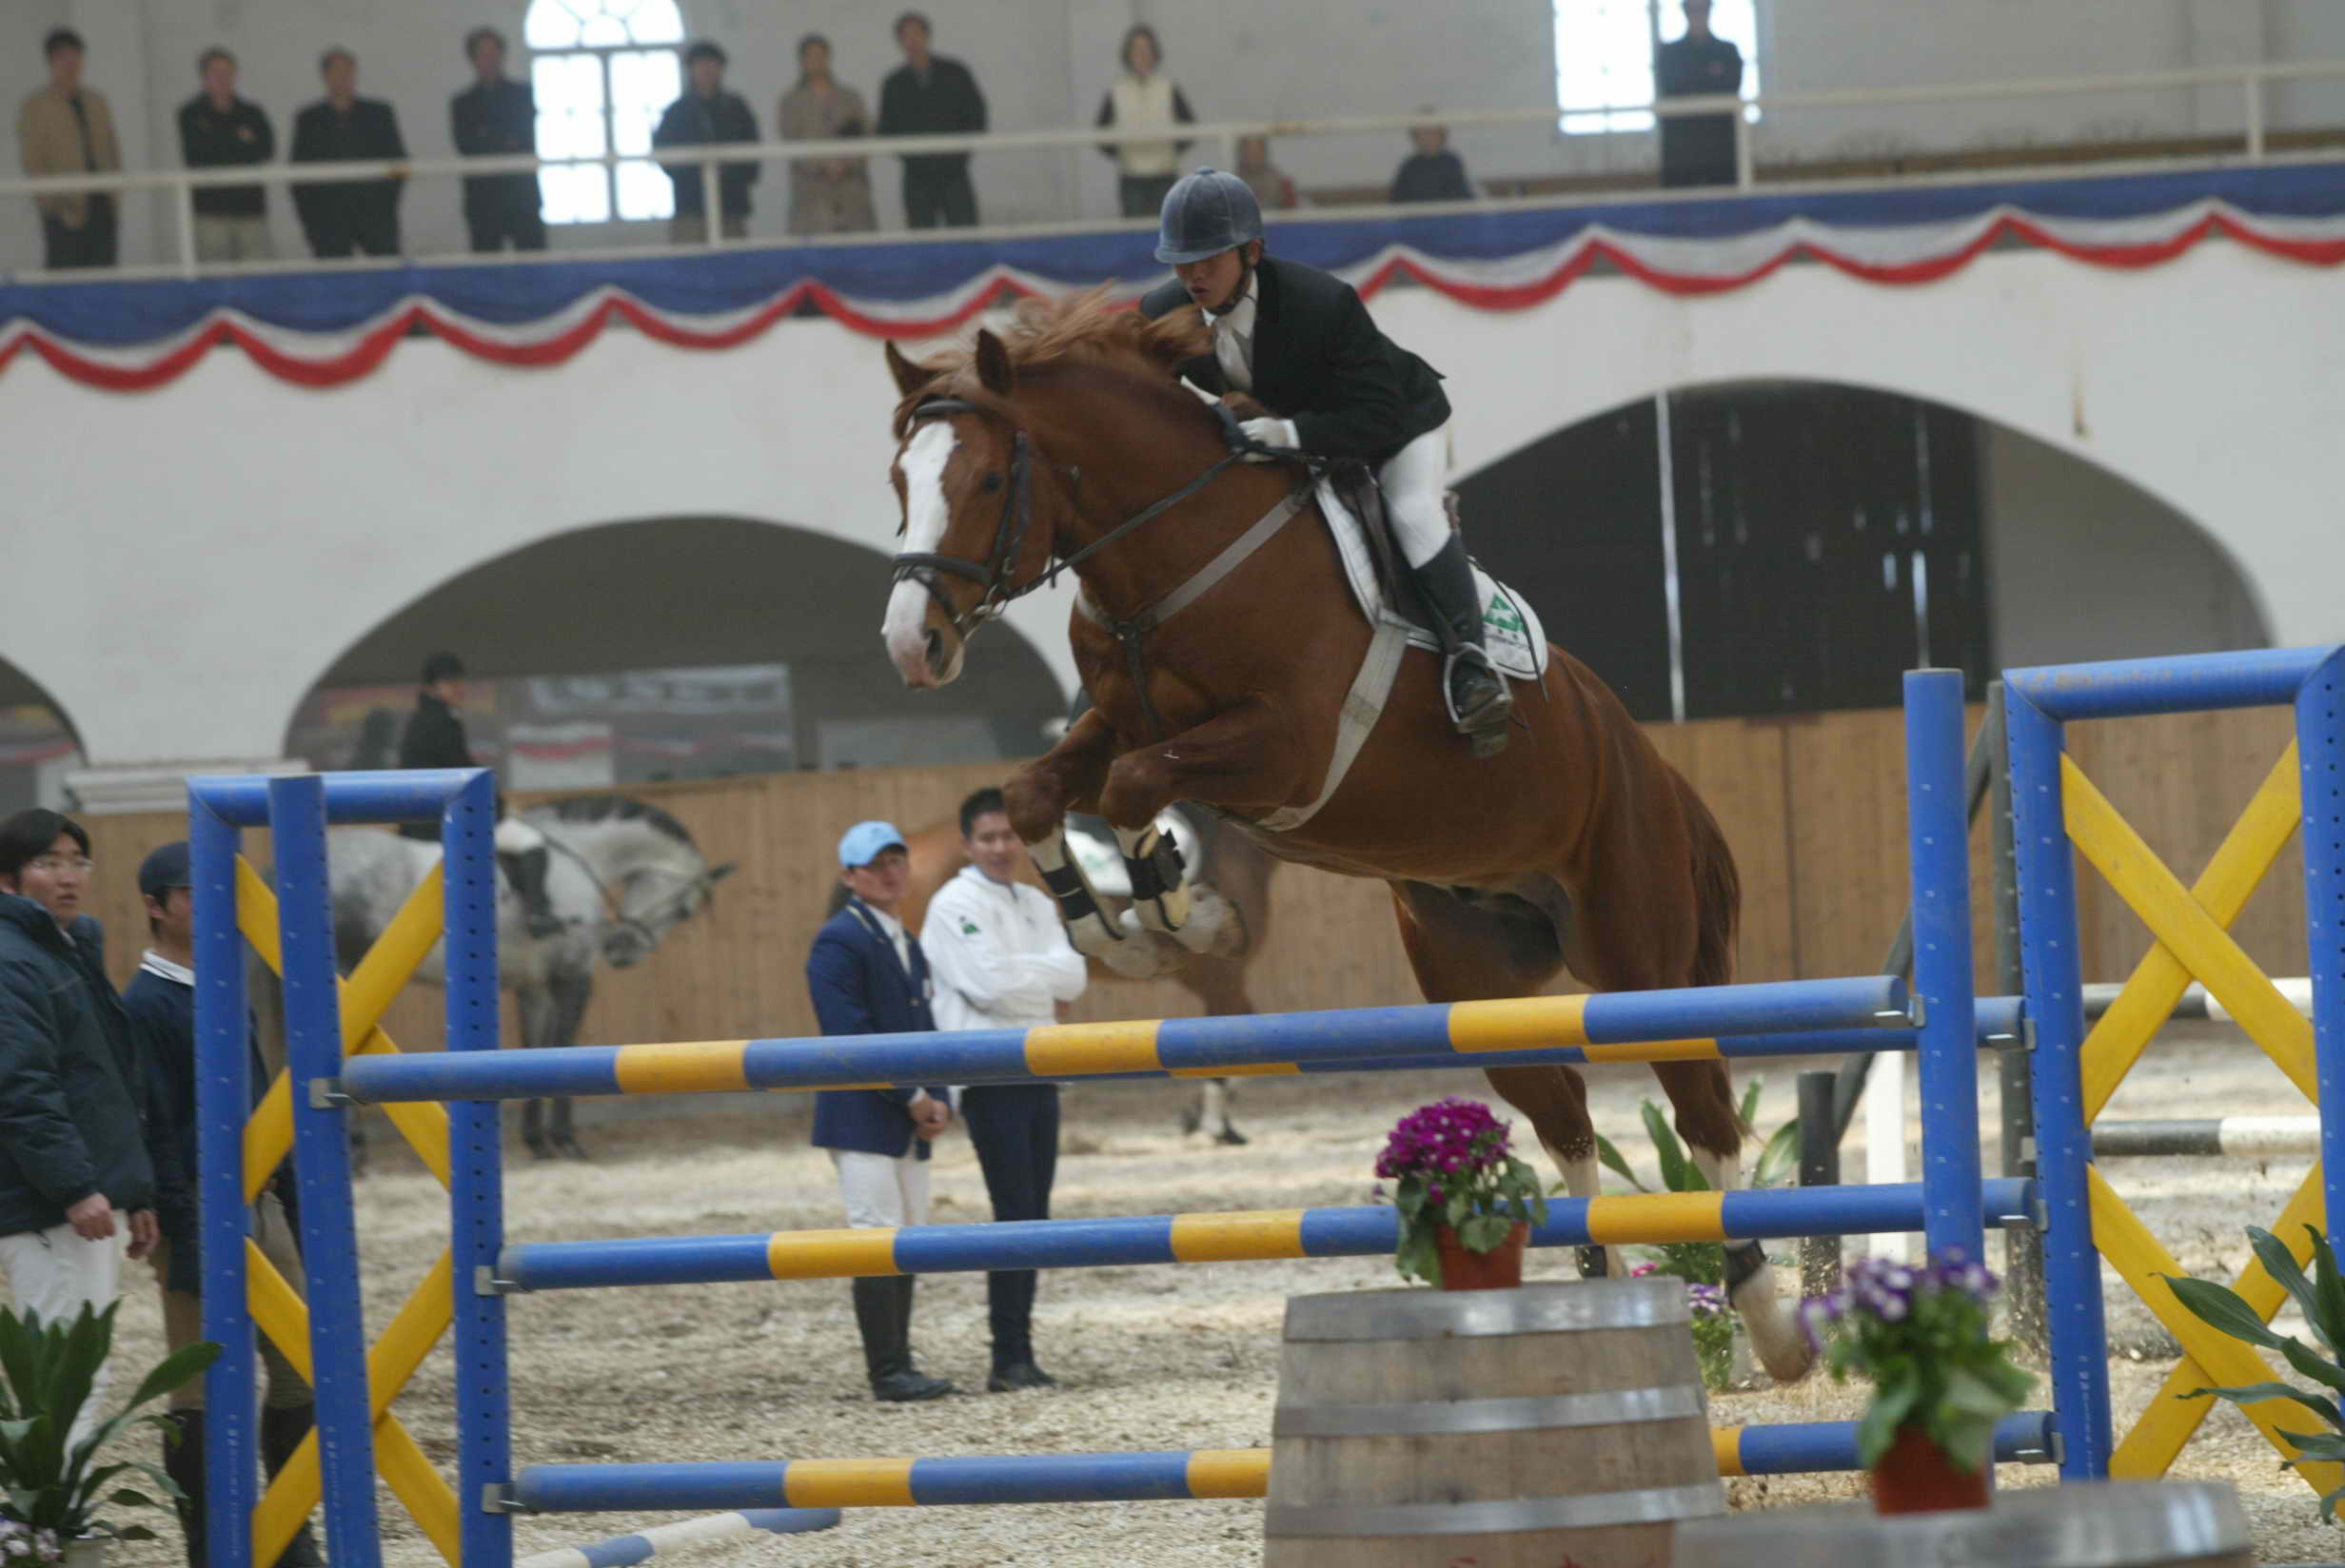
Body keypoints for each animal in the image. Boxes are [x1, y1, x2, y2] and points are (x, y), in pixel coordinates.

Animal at [316, 796, 726, 1148]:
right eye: (685, 910)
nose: (622, 952)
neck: (576, 858)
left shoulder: (535, 986)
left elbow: (536, 1049)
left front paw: (536, 1140)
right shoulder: (572, 976)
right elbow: (564, 1045)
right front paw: (564, 1139)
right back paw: (355, 1146)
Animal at [881, 292, 1810, 1368]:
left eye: (988, 478)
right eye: (899, 479)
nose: (912, 646)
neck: (1175, 557)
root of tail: (1646, 759)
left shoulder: (1282, 746)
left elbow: (1131, 791)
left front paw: (1180, 909)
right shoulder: (1118, 723)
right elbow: (1043, 793)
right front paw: (1108, 925)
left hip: (1637, 950)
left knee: (1703, 1110)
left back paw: (1766, 1316)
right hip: (1475, 977)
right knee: (1565, 1113)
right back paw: (1593, 1294)